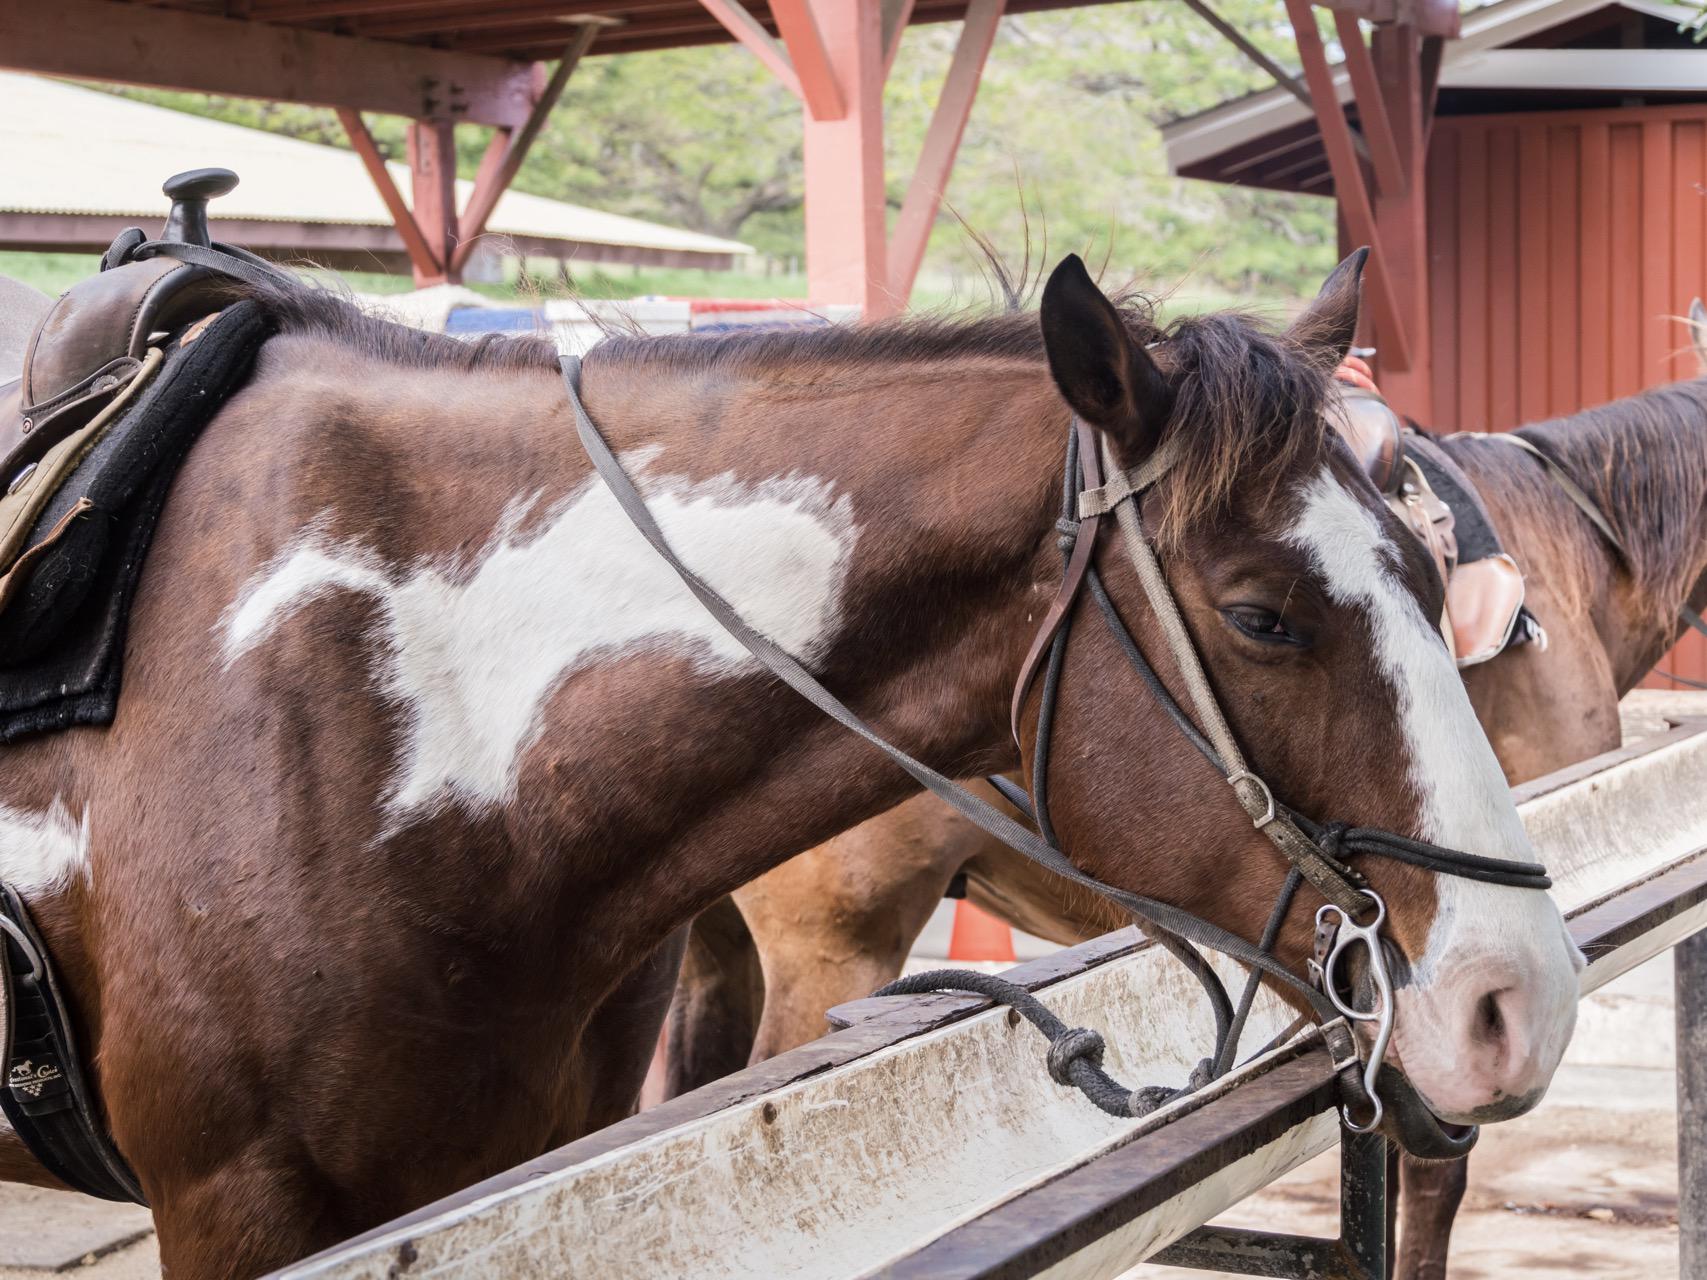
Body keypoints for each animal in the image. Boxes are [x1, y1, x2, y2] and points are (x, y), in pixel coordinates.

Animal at [669, 303, 1707, 1280]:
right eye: (1260, 618)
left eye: (1430, 592)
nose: (1518, 998)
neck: (1579, 553)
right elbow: (1434, 1176)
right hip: (834, 948)